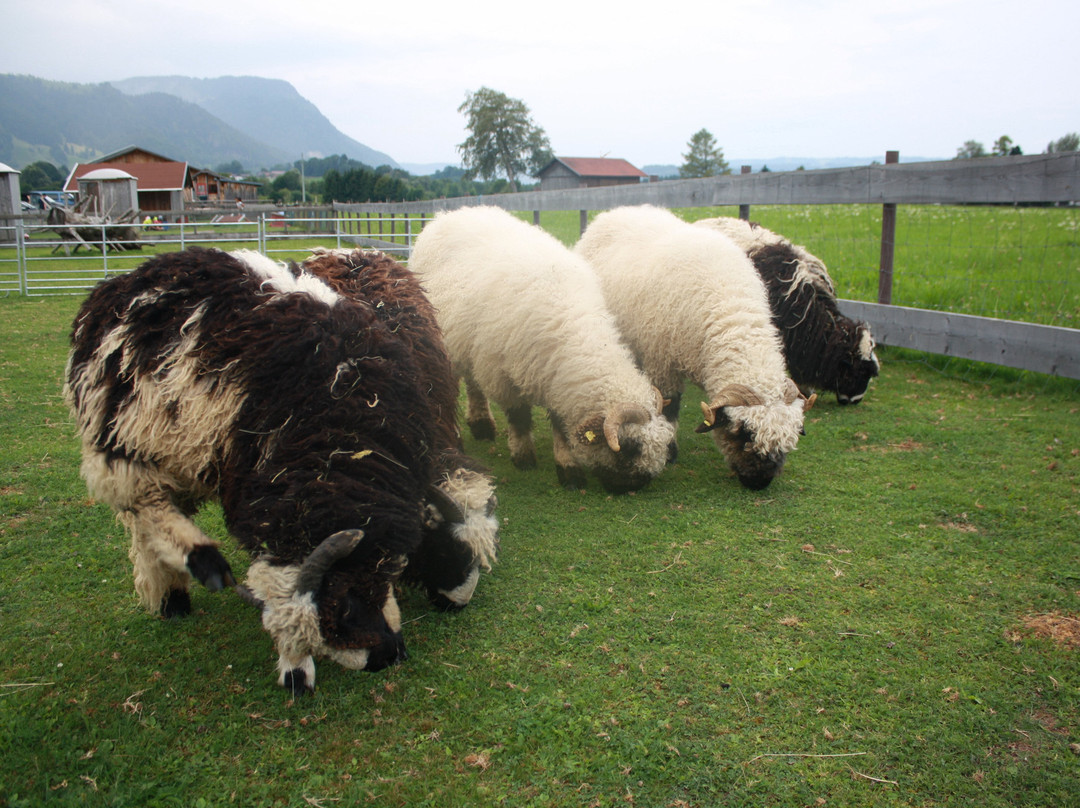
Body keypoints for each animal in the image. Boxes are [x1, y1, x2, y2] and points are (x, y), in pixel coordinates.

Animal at [61, 243, 492, 691]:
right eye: (345, 610)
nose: (459, 602)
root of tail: (125, 281)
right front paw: (294, 665)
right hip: (122, 444)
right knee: (144, 508)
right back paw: (188, 578)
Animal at [406, 203, 673, 492]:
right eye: (630, 447)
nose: (636, 486)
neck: (571, 328)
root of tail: (452, 213)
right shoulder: (502, 374)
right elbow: (519, 418)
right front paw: (523, 457)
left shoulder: (555, 380)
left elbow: (559, 426)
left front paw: (568, 469)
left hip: (468, 344)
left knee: (473, 384)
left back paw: (481, 426)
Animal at [574, 205, 812, 488]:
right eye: (744, 434)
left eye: (787, 444)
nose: (759, 482)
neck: (729, 309)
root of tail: (616, 211)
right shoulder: (662, 361)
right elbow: (669, 407)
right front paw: (670, 452)